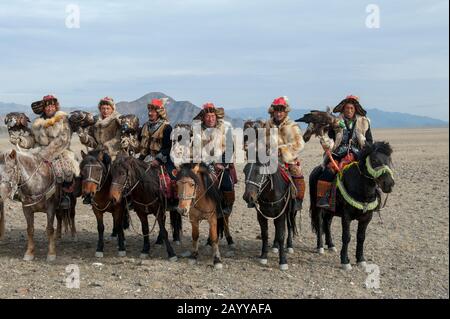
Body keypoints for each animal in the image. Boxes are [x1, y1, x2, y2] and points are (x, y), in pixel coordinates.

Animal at [310, 142, 394, 270]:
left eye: (389, 160)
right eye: (374, 160)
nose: (389, 184)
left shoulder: (366, 218)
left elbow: (361, 237)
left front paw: (361, 259)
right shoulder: (346, 216)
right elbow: (346, 237)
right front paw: (345, 261)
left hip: (331, 210)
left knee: (327, 223)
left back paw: (331, 245)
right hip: (318, 207)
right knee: (320, 224)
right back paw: (320, 247)